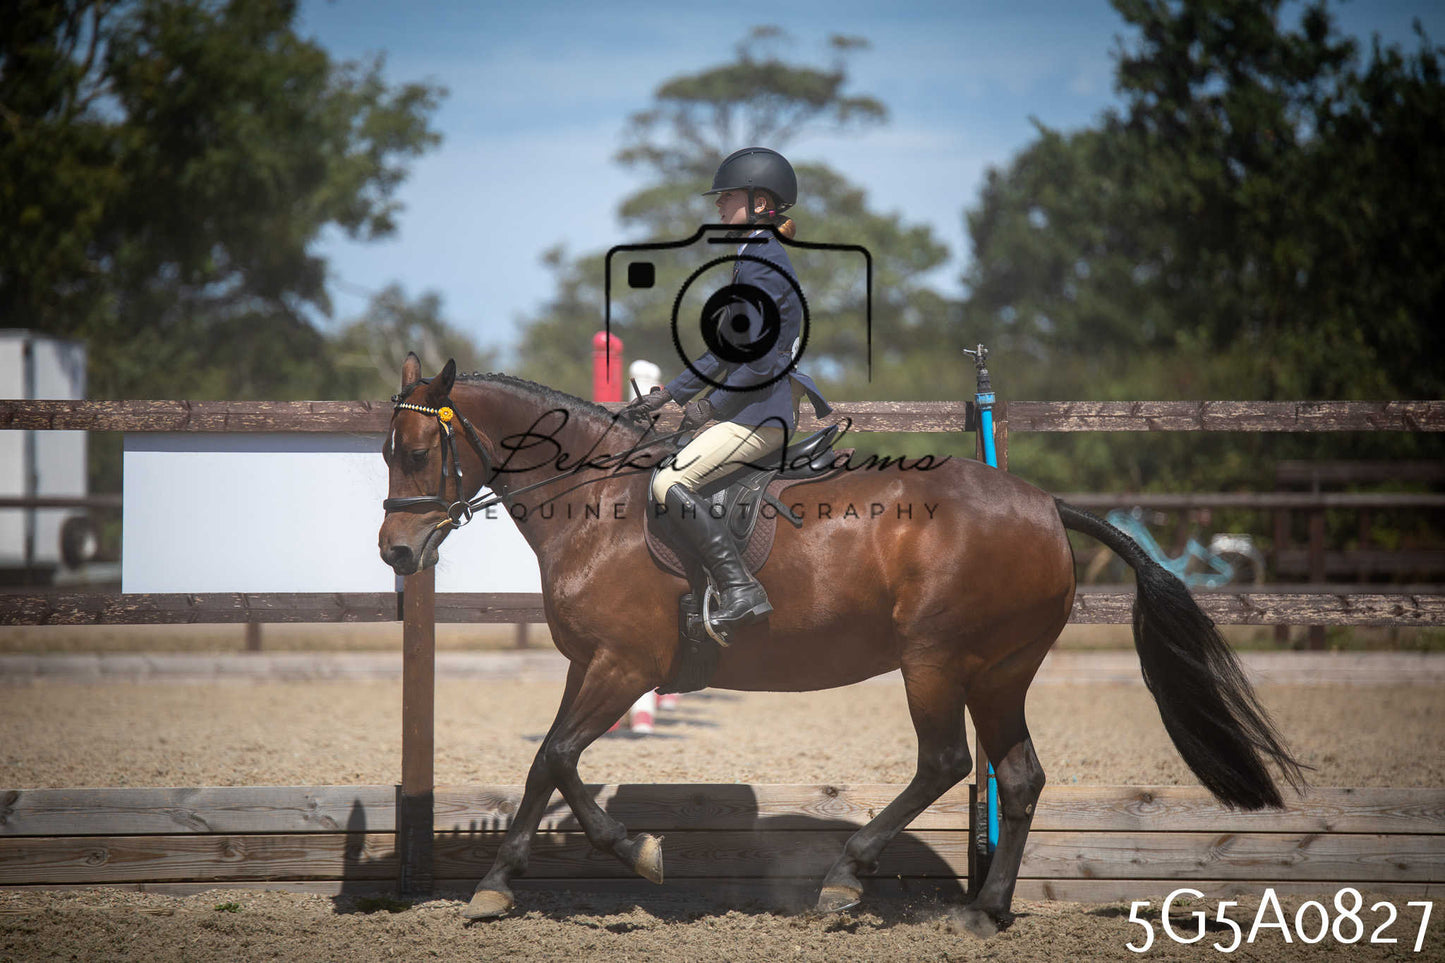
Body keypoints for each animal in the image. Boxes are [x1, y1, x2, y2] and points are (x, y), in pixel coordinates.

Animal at [377, 354, 1305, 936]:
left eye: (418, 451)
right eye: (386, 451)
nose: (395, 554)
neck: (597, 504)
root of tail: (1044, 505)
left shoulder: (623, 665)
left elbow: (563, 757)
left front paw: (636, 855)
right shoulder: (588, 664)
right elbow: (545, 760)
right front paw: (494, 887)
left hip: (935, 659)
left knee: (945, 762)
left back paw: (844, 877)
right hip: (999, 671)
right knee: (1017, 774)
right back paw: (981, 910)